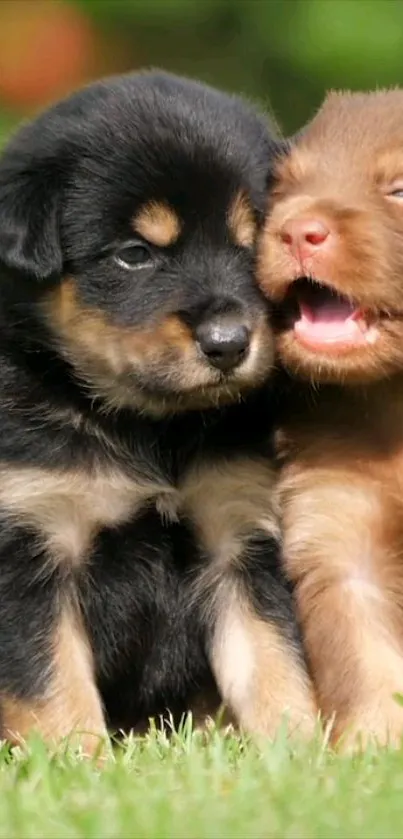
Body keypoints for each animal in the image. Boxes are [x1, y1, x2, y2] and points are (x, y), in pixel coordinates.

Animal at [0, 74, 316, 756]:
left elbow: (275, 661)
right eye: (134, 254)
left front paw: (302, 757)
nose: (229, 343)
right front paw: (80, 765)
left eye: (253, 243)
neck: (148, 427)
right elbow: (52, 685)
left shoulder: (238, 535)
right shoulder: (31, 543)